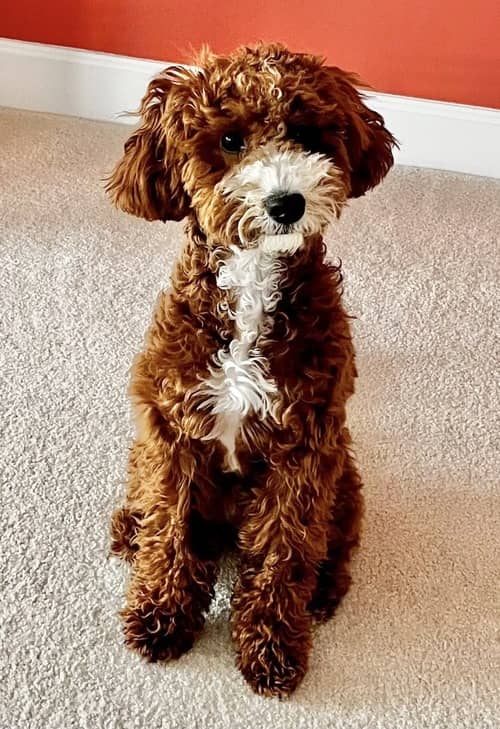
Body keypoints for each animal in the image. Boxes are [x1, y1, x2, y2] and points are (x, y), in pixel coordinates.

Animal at [107, 42, 396, 696]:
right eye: (231, 140)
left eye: (308, 134)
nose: (286, 202)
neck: (252, 286)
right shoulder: (175, 433)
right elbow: (172, 529)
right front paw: (162, 617)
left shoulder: (304, 450)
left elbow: (283, 551)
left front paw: (272, 648)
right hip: (147, 448)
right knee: (150, 507)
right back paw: (130, 529)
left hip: (345, 475)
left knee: (333, 543)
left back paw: (322, 592)